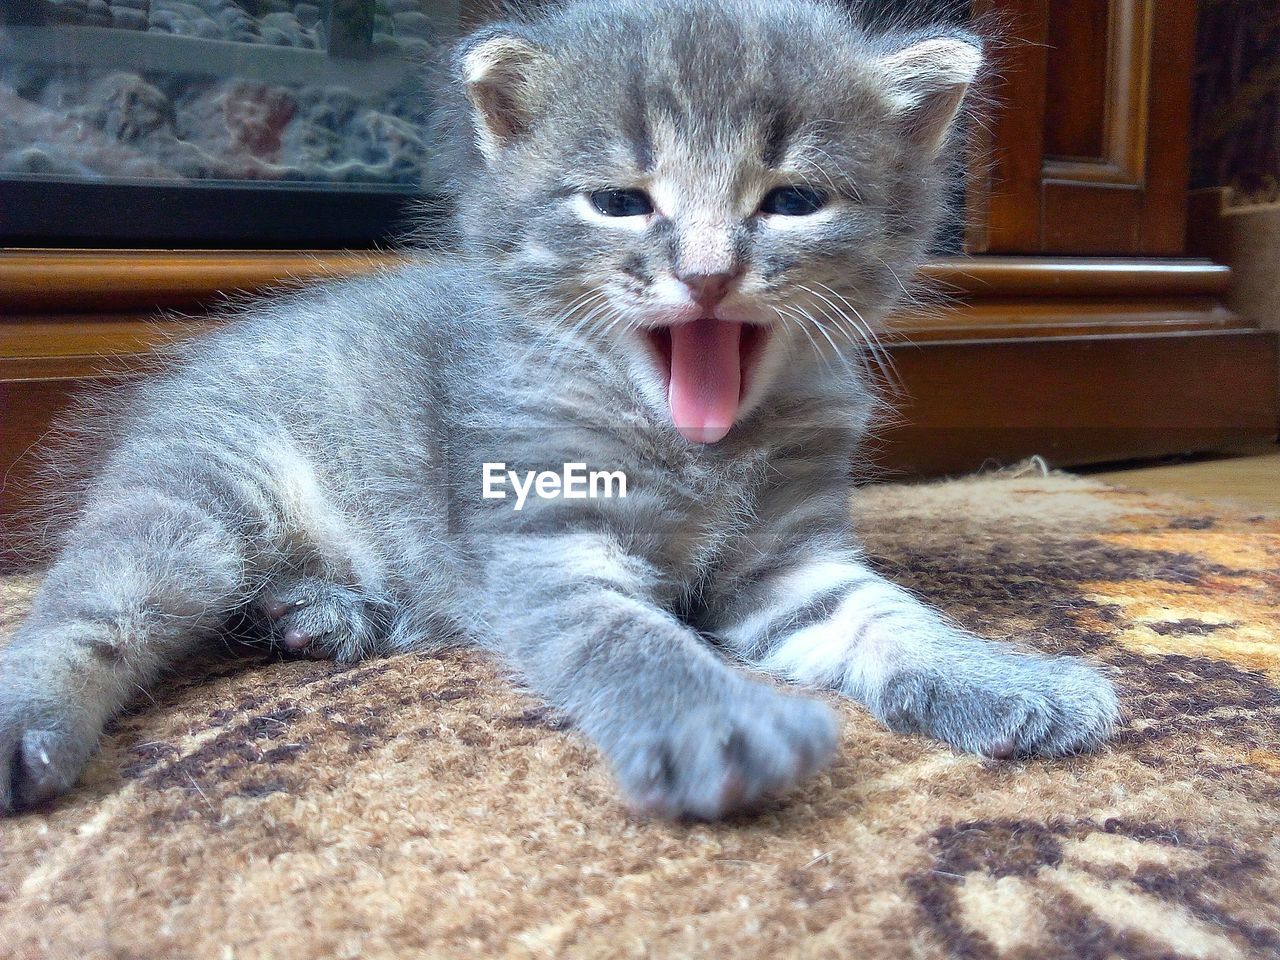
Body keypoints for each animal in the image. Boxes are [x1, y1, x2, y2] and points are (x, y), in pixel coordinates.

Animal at [0, 0, 1116, 819]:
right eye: (622, 201)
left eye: (791, 200)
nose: (707, 275)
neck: (694, 452)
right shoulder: (548, 545)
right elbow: (635, 645)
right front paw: (719, 726)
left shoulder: (793, 563)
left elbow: (886, 619)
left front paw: (1006, 680)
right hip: (194, 499)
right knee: (87, 608)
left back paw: (316, 611)